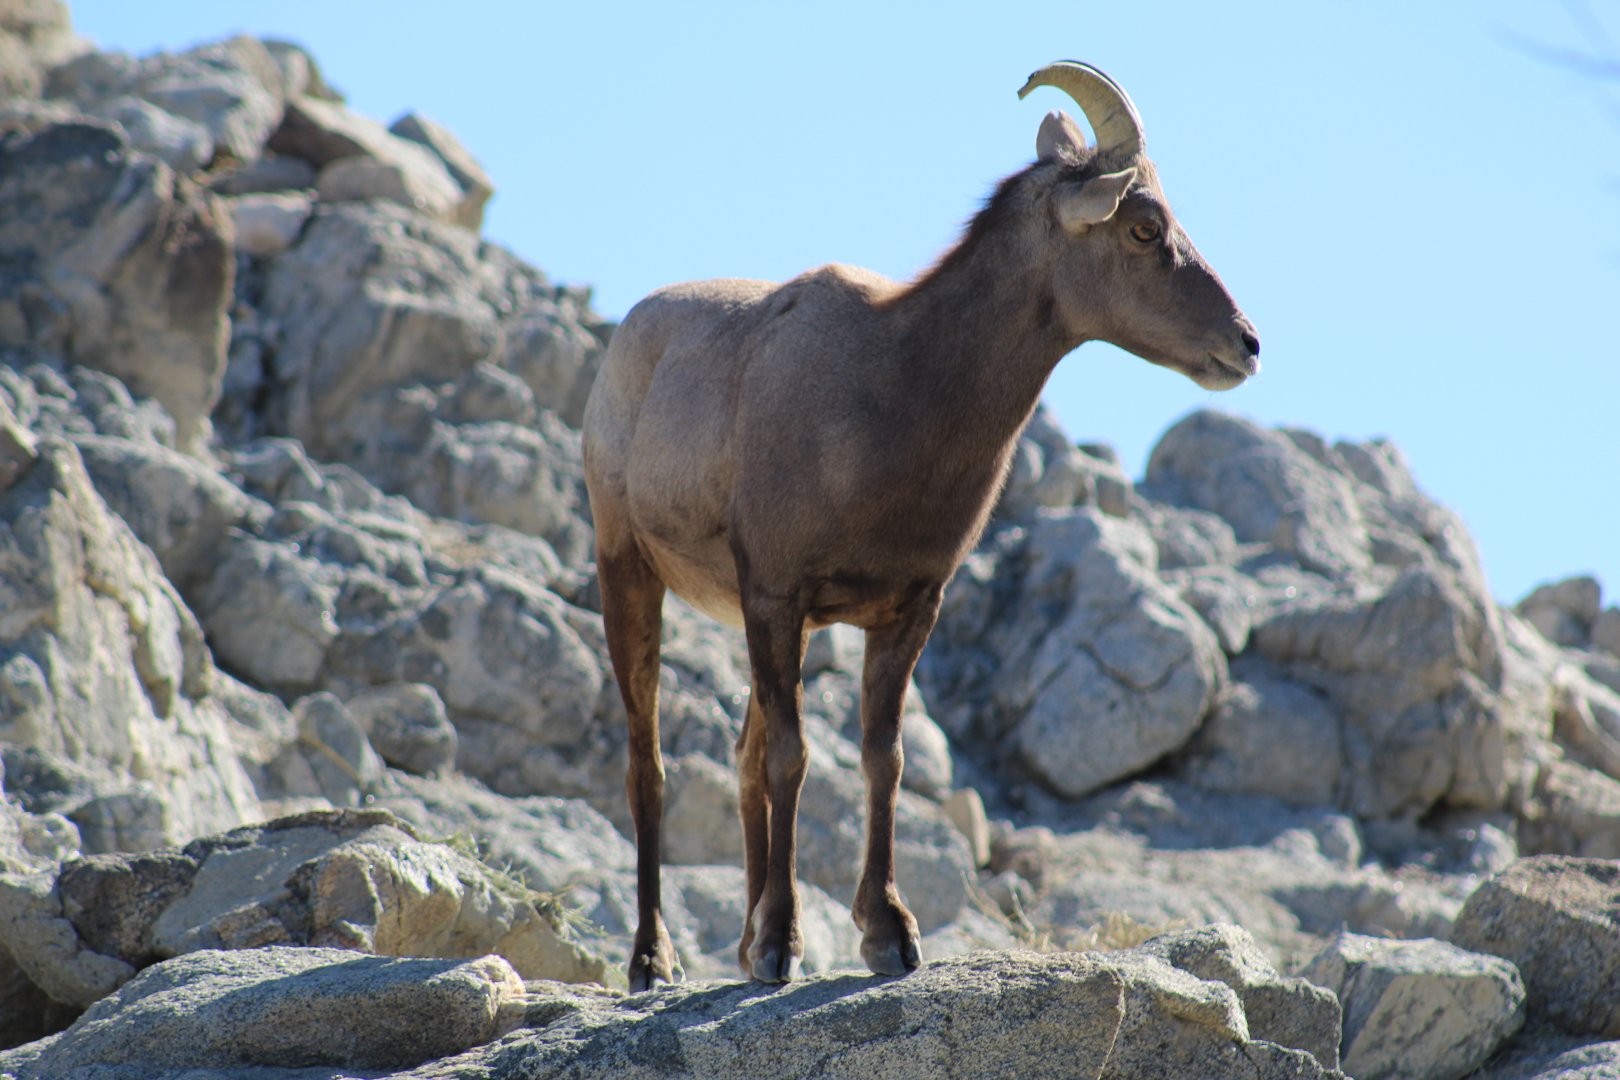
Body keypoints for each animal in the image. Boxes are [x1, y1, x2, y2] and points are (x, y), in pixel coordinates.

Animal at [582, 60, 1259, 990]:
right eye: (1144, 225)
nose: (1247, 343)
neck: (894, 391)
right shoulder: (777, 594)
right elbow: (797, 757)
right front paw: (789, 943)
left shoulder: (903, 610)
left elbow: (880, 758)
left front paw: (884, 936)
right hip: (631, 576)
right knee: (648, 764)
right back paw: (656, 960)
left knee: (743, 756)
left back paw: (743, 945)